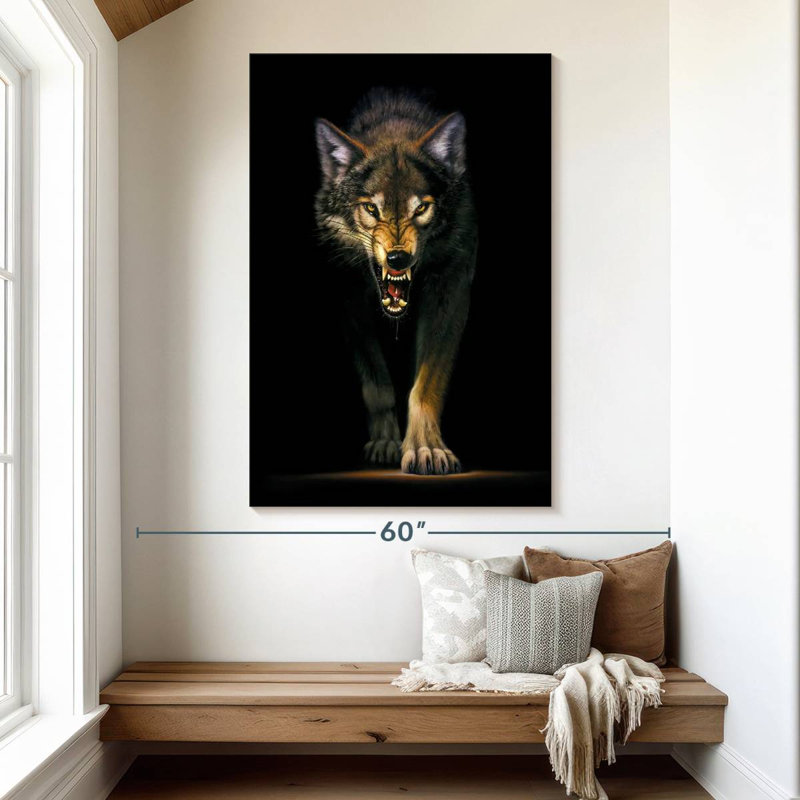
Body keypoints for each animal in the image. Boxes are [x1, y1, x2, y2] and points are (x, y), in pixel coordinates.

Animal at [314, 90, 477, 475]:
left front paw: (426, 448)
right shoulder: (348, 298)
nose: (397, 259)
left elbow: (426, 384)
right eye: (372, 209)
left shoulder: (451, 290)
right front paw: (386, 443)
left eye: (421, 209)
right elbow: (378, 385)